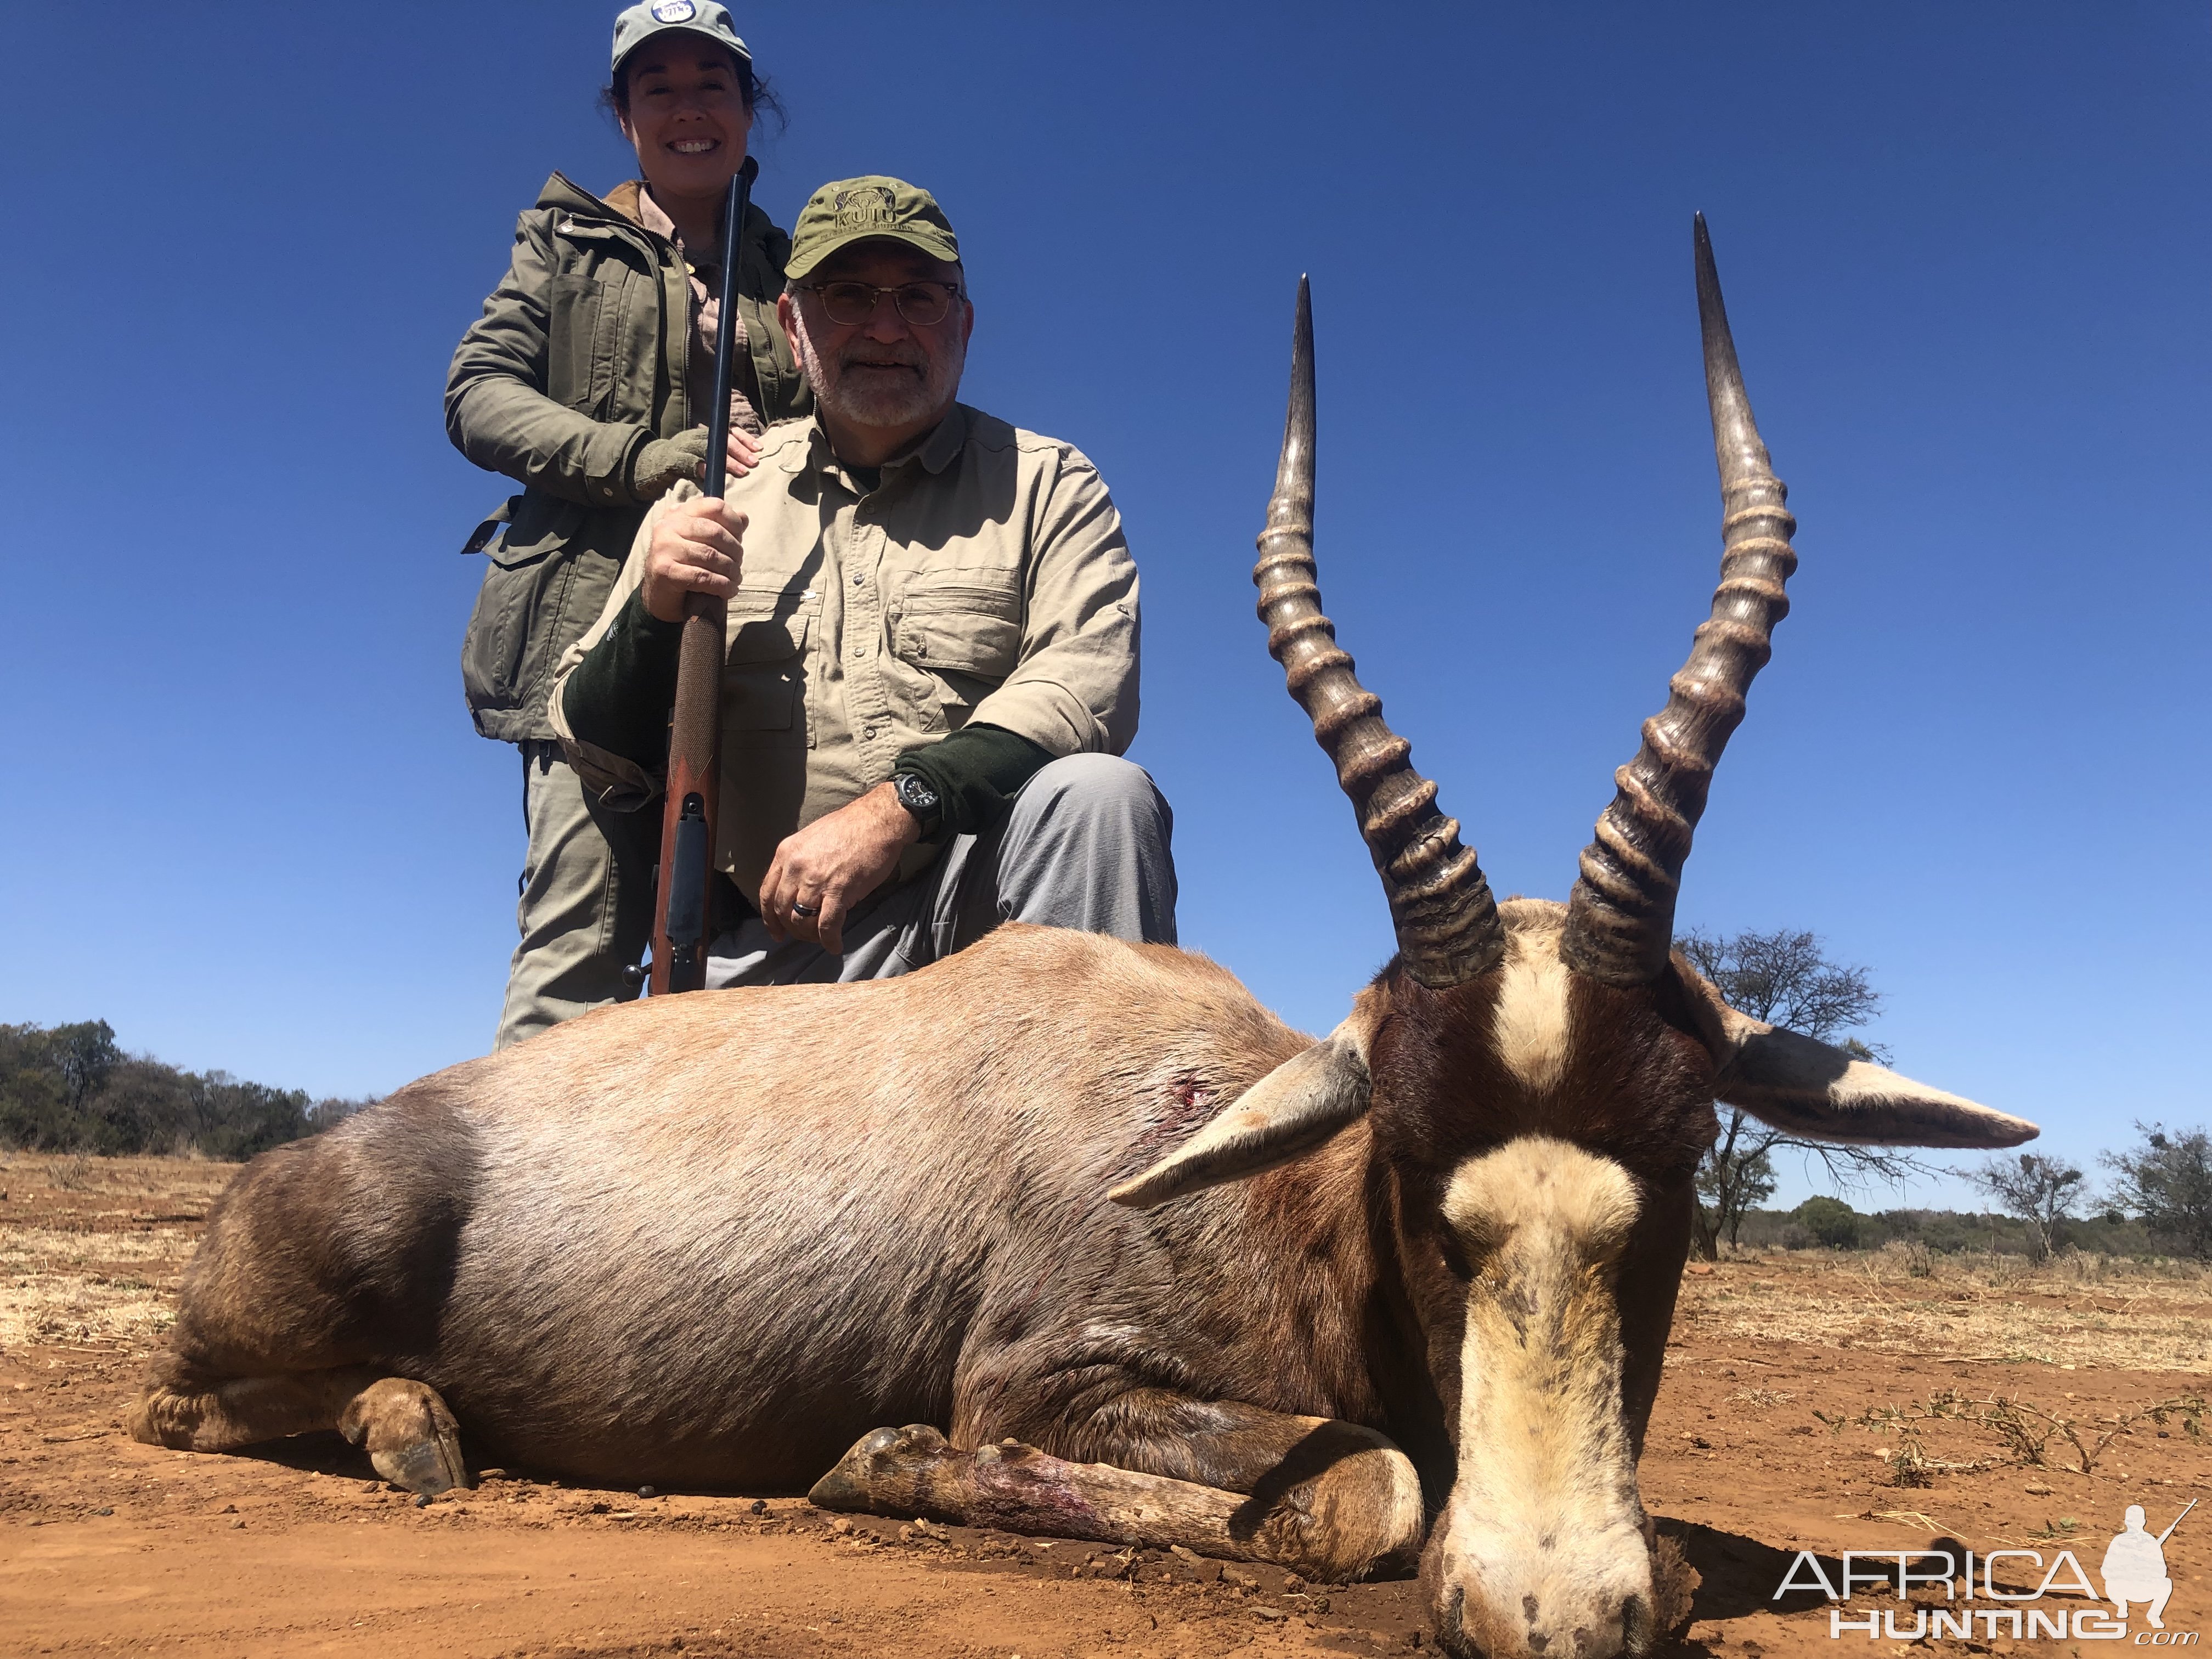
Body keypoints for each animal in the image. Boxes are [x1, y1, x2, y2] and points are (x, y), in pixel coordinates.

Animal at [133, 221, 2035, 1659]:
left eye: (1688, 1153)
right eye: (1413, 1163)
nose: (1551, 1613)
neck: (1256, 1169)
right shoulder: (1044, 1381)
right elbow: (1370, 1487)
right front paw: (873, 1461)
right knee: (188, 1409)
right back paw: (414, 1431)